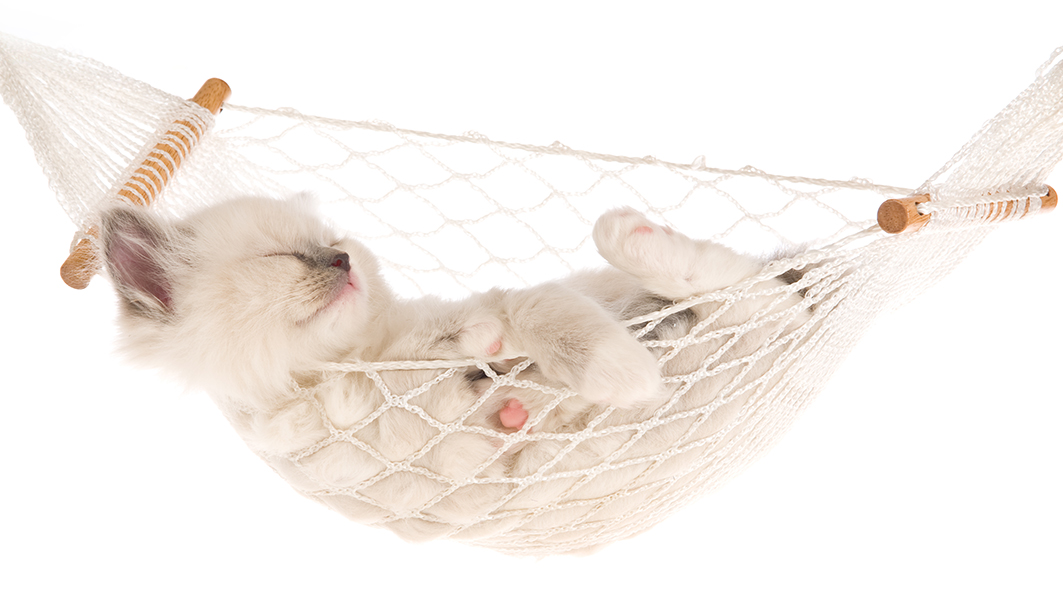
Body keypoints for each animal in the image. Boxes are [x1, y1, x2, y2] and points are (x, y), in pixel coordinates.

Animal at [99, 197, 807, 544]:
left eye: (334, 242)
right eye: (284, 257)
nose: (341, 260)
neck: (350, 362)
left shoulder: (509, 306)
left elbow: (536, 318)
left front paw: (618, 371)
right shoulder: (338, 457)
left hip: (734, 311)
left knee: (747, 287)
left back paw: (629, 240)